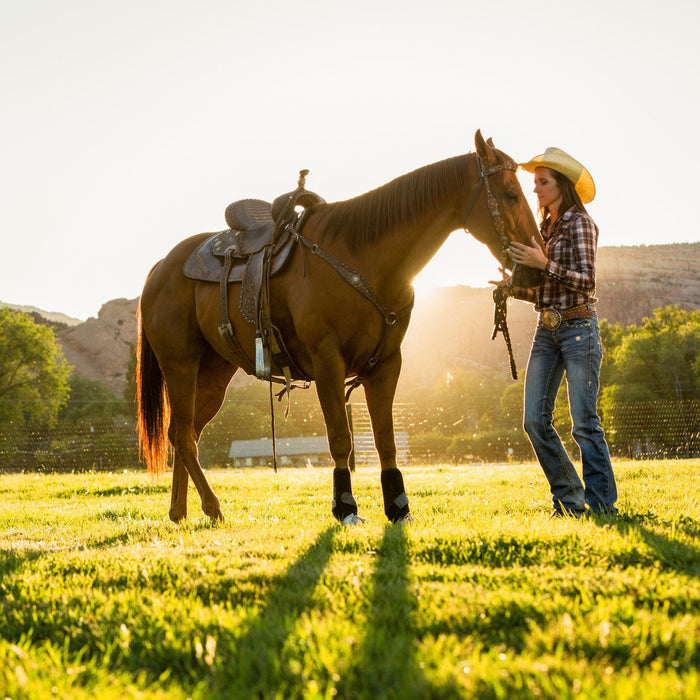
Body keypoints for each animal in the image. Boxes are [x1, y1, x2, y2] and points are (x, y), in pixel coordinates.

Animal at [136, 130, 542, 525]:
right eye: (511, 195)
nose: (535, 266)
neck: (361, 257)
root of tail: (161, 267)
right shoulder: (328, 361)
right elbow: (340, 439)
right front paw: (345, 506)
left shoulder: (386, 365)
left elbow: (385, 440)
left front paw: (398, 507)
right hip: (181, 365)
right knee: (184, 435)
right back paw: (212, 506)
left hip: (214, 373)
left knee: (184, 432)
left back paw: (179, 511)